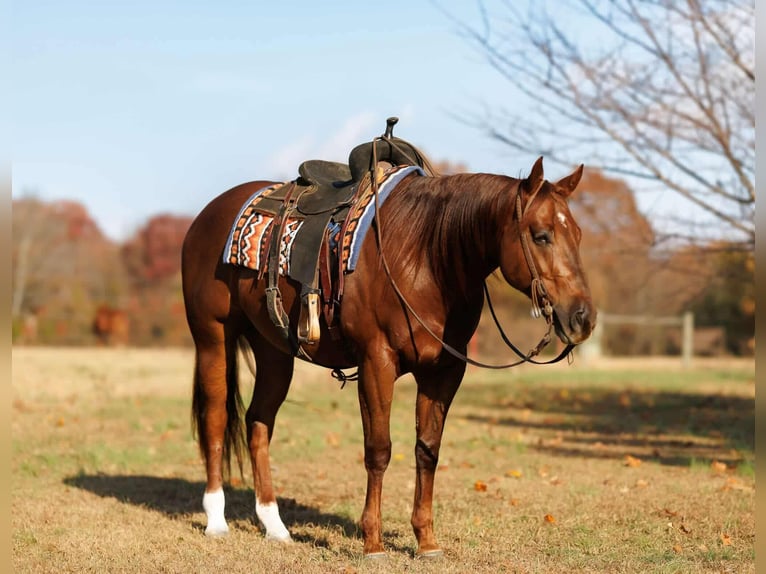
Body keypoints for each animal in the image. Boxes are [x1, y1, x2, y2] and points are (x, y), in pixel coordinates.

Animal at [181, 155, 596, 558]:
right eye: (541, 235)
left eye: (578, 235)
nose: (583, 318)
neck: (425, 258)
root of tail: (207, 215)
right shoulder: (376, 363)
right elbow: (379, 450)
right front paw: (373, 543)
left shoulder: (444, 371)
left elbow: (427, 450)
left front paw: (426, 541)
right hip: (213, 337)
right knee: (216, 417)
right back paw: (216, 521)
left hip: (274, 350)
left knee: (258, 422)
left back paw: (275, 527)